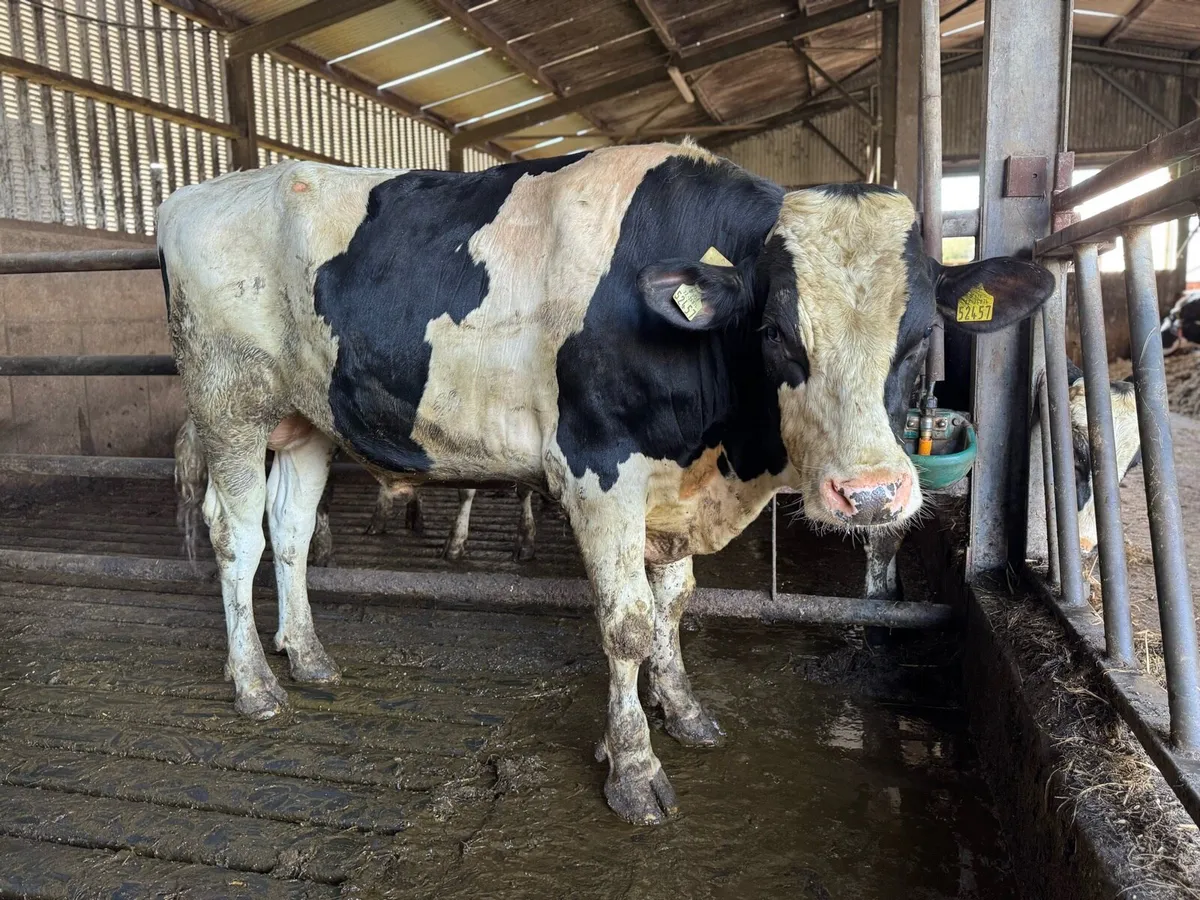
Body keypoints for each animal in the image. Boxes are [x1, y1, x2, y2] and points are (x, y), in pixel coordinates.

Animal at [160, 143, 1054, 824]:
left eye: (924, 335)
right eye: (775, 332)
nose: (869, 495)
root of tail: (196, 194)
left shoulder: (671, 486)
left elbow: (674, 604)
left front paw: (682, 708)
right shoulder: (598, 471)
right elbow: (625, 625)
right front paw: (633, 767)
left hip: (305, 419)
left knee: (289, 533)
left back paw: (307, 656)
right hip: (230, 404)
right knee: (237, 538)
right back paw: (254, 684)